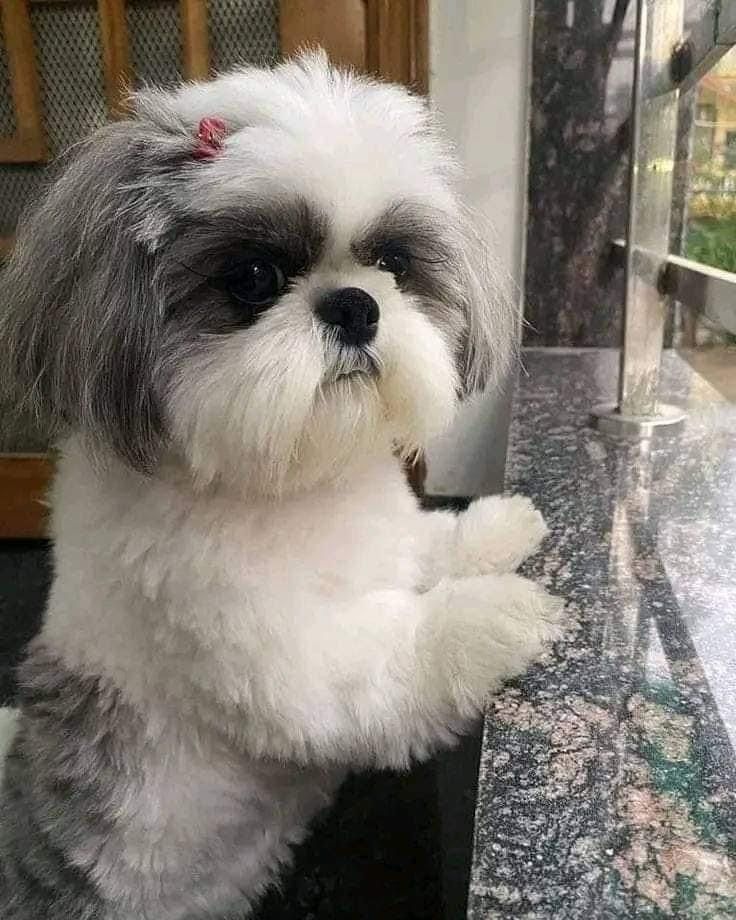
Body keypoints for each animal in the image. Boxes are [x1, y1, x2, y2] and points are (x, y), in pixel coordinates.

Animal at [0, 55, 556, 920]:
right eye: (254, 277)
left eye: (394, 264)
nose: (354, 305)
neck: (294, 483)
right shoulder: (290, 660)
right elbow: (405, 644)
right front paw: (496, 611)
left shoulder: (388, 542)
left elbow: (430, 544)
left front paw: (500, 528)